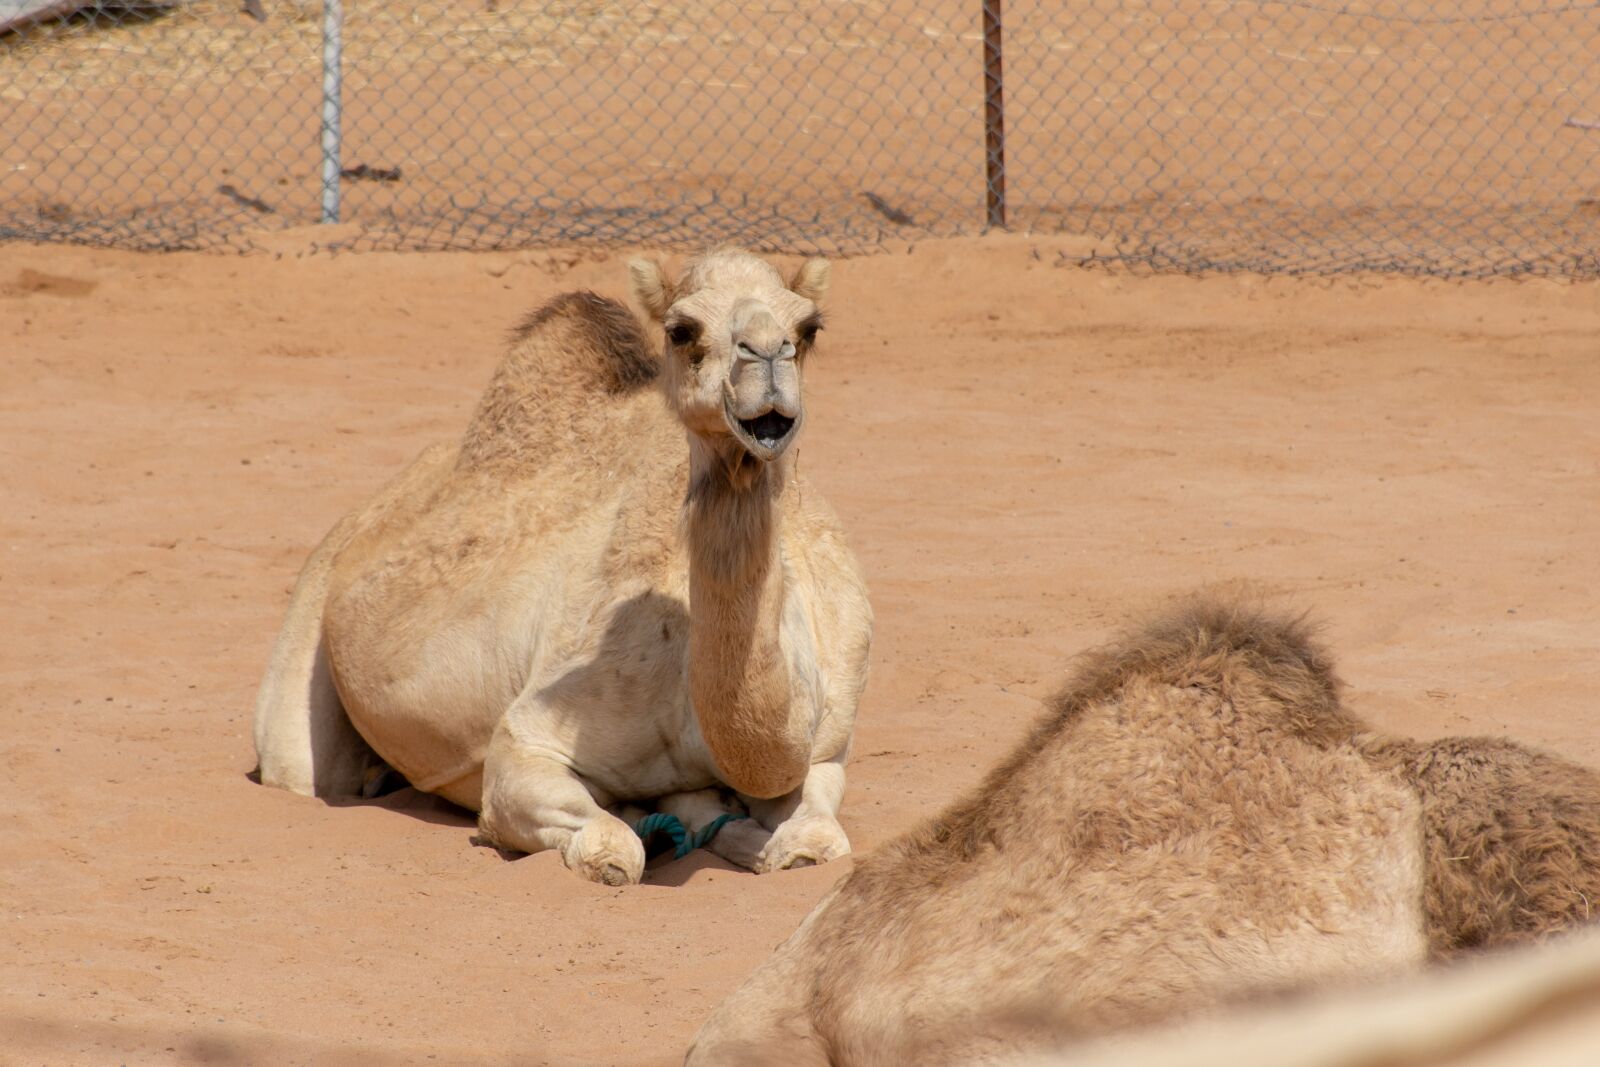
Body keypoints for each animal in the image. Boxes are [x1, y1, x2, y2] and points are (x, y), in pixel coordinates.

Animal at [252, 250, 872, 886]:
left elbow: (816, 840)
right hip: (308, 623)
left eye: (808, 329)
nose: (768, 357)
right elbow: (612, 849)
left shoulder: (826, 743)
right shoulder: (528, 743)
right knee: (301, 767)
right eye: (682, 330)